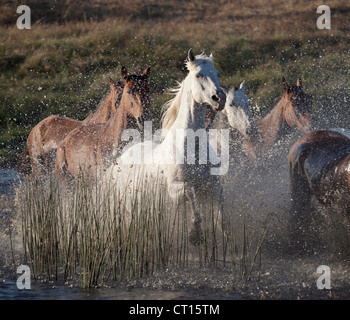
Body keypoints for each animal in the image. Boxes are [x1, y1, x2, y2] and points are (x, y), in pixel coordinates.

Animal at [101, 49, 227, 245]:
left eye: (218, 74)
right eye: (198, 75)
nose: (219, 99)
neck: (192, 148)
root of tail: (117, 163)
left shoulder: (212, 184)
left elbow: (221, 217)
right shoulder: (175, 189)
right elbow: (190, 192)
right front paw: (195, 233)